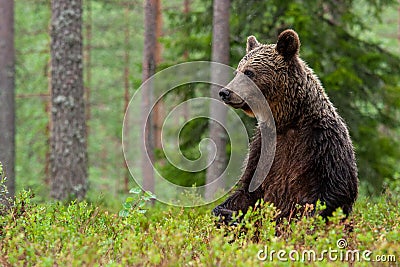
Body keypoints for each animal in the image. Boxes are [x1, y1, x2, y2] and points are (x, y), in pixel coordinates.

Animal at [214, 29, 358, 223]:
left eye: (249, 72)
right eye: (237, 72)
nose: (225, 92)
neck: (289, 120)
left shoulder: (323, 142)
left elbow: (335, 189)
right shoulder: (264, 147)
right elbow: (248, 190)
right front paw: (225, 212)